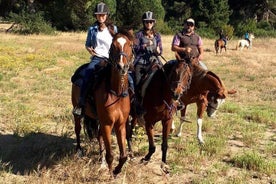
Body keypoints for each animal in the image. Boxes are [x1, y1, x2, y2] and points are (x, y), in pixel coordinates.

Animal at [70, 29, 134, 175]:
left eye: (130, 45)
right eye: (113, 46)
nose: (122, 67)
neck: (116, 92)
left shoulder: (120, 124)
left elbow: (123, 155)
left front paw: (116, 170)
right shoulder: (107, 124)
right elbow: (110, 155)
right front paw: (110, 173)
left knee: (98, 136)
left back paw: (101, 159)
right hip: (77, 111)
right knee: (78, 129)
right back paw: (79, 151)